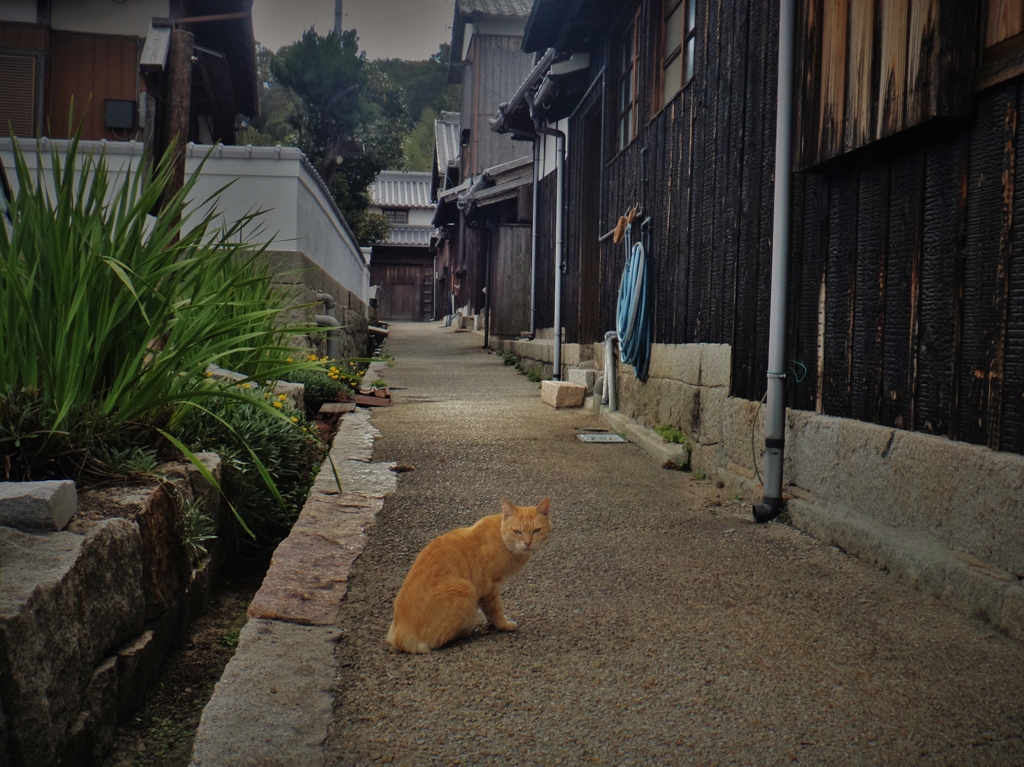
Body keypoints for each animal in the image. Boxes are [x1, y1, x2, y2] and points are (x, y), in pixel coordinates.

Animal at [387, 497, 552, 651]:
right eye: (517, 532)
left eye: (536, 531)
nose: (528, 543)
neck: (502, 539)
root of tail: (399, 635)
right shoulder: (489, 587)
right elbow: (496, 610)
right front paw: (503, 625)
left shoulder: (484, 591)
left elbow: (487, 610)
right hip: (465, 589)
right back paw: (464, 631)